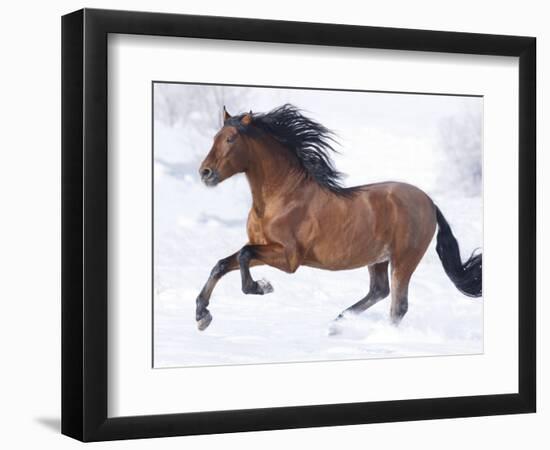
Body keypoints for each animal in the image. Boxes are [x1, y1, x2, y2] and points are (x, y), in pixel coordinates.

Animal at [195, 103, 484, 332]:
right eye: (215, 136)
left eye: (231, 139)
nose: (205, 172)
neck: (281, 198)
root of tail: (430, 202)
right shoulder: (266, 248)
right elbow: (222, 264)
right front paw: (201, 315)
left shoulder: (288, 258)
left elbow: (244, 255)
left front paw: (261, 287)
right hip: (378, 258)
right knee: (380, 291)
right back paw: (337, 325)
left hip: (404, 259)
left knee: (397, 306)